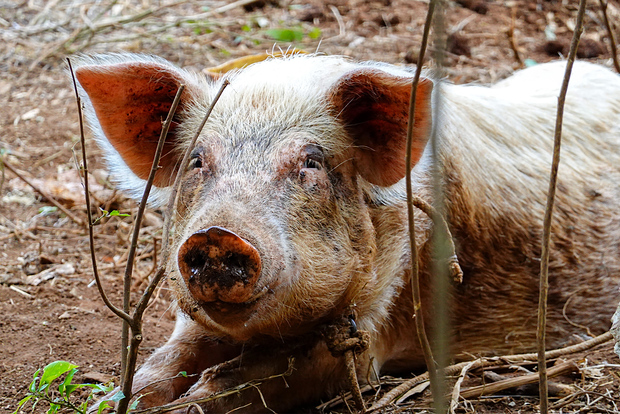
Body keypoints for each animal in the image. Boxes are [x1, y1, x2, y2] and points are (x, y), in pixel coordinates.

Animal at [72, 53, 620, 412]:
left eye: (311, 162)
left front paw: (193, 401)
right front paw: (120, 401)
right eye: (197, 161)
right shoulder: (193, 322)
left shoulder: (373, 330)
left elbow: (265, 377)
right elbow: (165, 359)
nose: (217, 235)